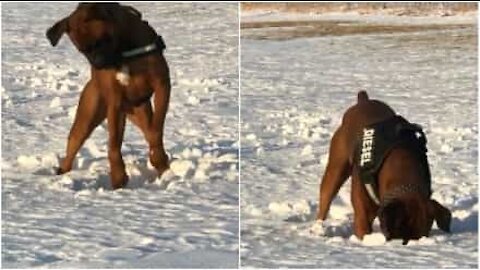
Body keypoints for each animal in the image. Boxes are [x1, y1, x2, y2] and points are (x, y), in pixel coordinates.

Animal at [45, 3, 172, 190]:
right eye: (83, 51)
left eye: (102, 41)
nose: (99, 64)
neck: (123, 51)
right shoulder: (115, 103)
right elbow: (113, 144)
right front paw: (118, 176)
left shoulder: (162, 87)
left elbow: (155, 130)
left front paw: (158, 160)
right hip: (88, 115)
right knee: (73, 143)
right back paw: (62, 174)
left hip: (138, 110)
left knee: (149, 131)